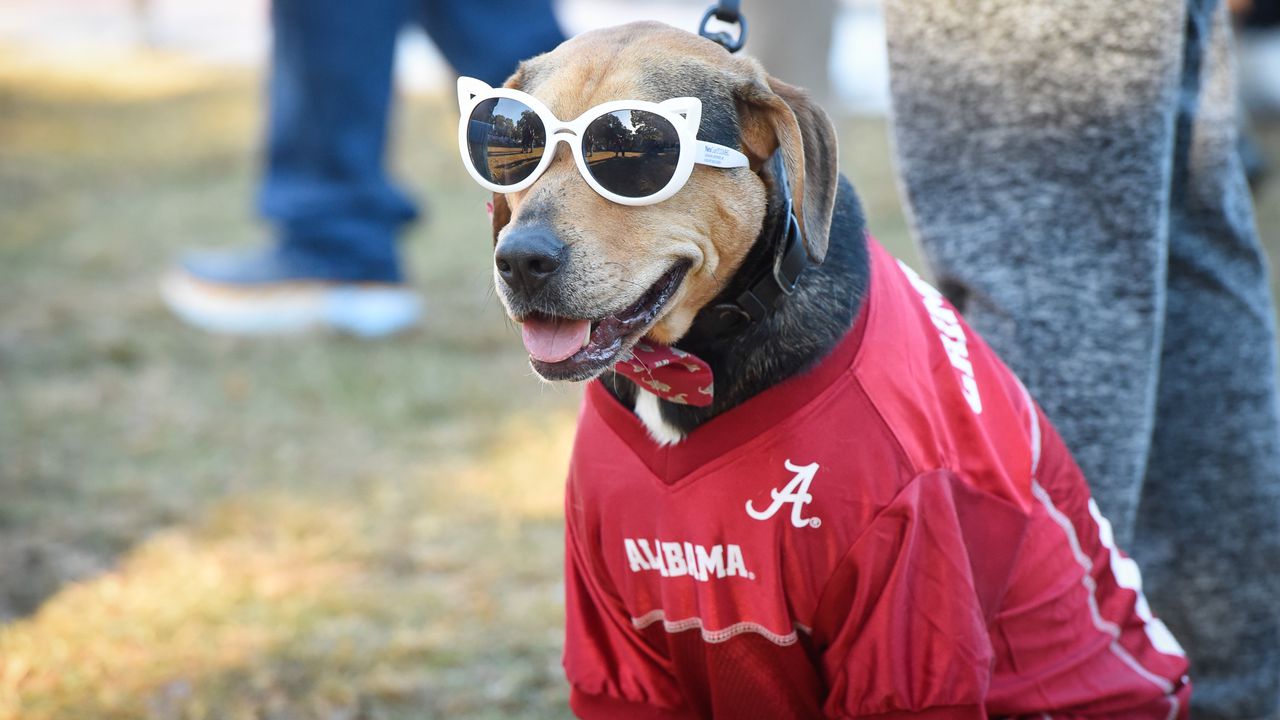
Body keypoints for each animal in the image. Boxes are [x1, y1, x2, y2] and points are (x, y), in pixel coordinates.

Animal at [458, 22, 1187, 717]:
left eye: (637, 153)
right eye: (510, 144)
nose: (520, 260)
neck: (694, 361)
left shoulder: (905, 618)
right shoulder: (621, 660)